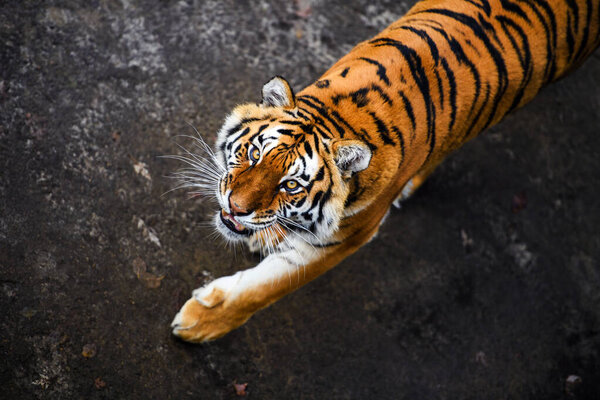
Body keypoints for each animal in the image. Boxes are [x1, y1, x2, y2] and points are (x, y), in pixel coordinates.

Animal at [170, 0, 600, 344]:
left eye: (291, 184)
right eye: (255, 154)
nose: (235, 207)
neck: (337, 116)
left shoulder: (342, 241)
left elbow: (263, 289)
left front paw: (199, 325)